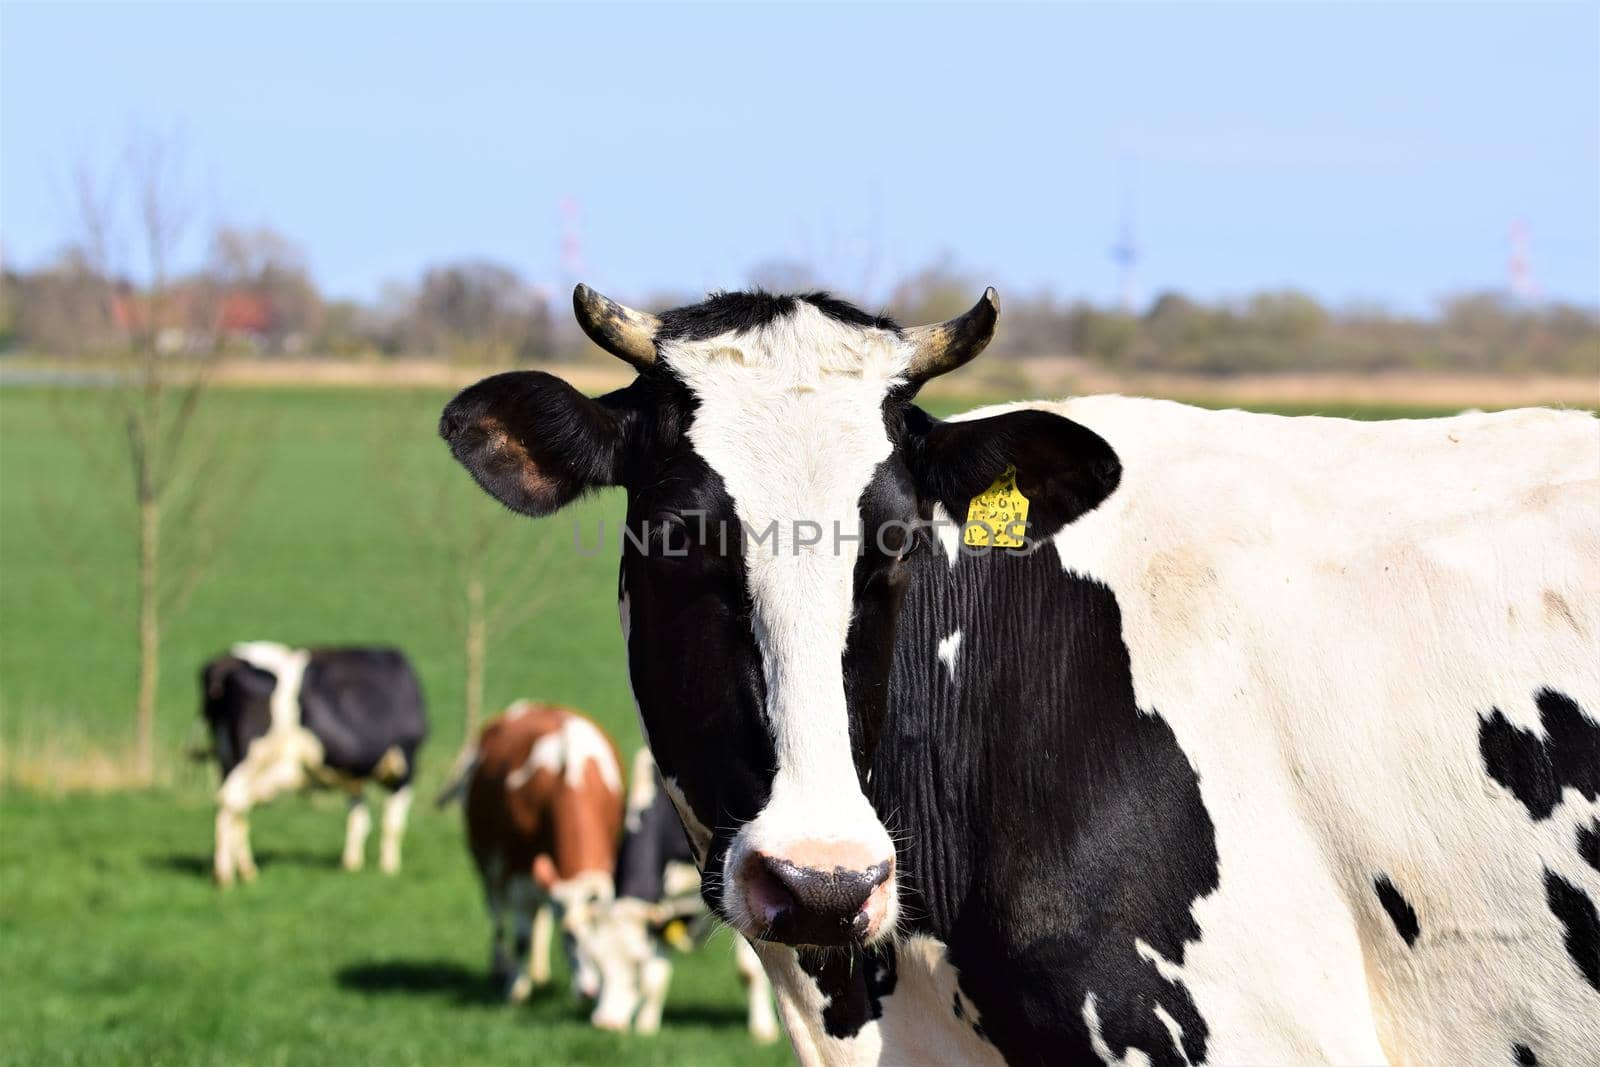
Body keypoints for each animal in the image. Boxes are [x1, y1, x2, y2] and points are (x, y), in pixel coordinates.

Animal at [198, 646, 425, 889]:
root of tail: (222, 666)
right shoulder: (406, 764)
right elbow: (393, 823)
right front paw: (389, 868)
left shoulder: (355, 777)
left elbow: (358, 819)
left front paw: (352, 864)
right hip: (252, 757)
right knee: (231, 801)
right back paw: (225, 876)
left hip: (227, 758)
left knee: (236, 808)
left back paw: (245, 872)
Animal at [444, 700, 630, 1004]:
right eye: (570, 937)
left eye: (606, 941)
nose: (589, 992)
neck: (568, 779)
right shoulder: (516, 872)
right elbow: (520, 937)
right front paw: (516, 987)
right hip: (486, 862)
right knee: (497, 912)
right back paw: (500, 968)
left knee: (539, 914)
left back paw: (539, 971)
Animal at [592, 751, 784, 1043]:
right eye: (596, 961)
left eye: (637, 963)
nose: (606, 1024)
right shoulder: (665, 903)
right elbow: (656, 976)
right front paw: (647, 1027)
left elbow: (749, 970)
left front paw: (762, 1031)